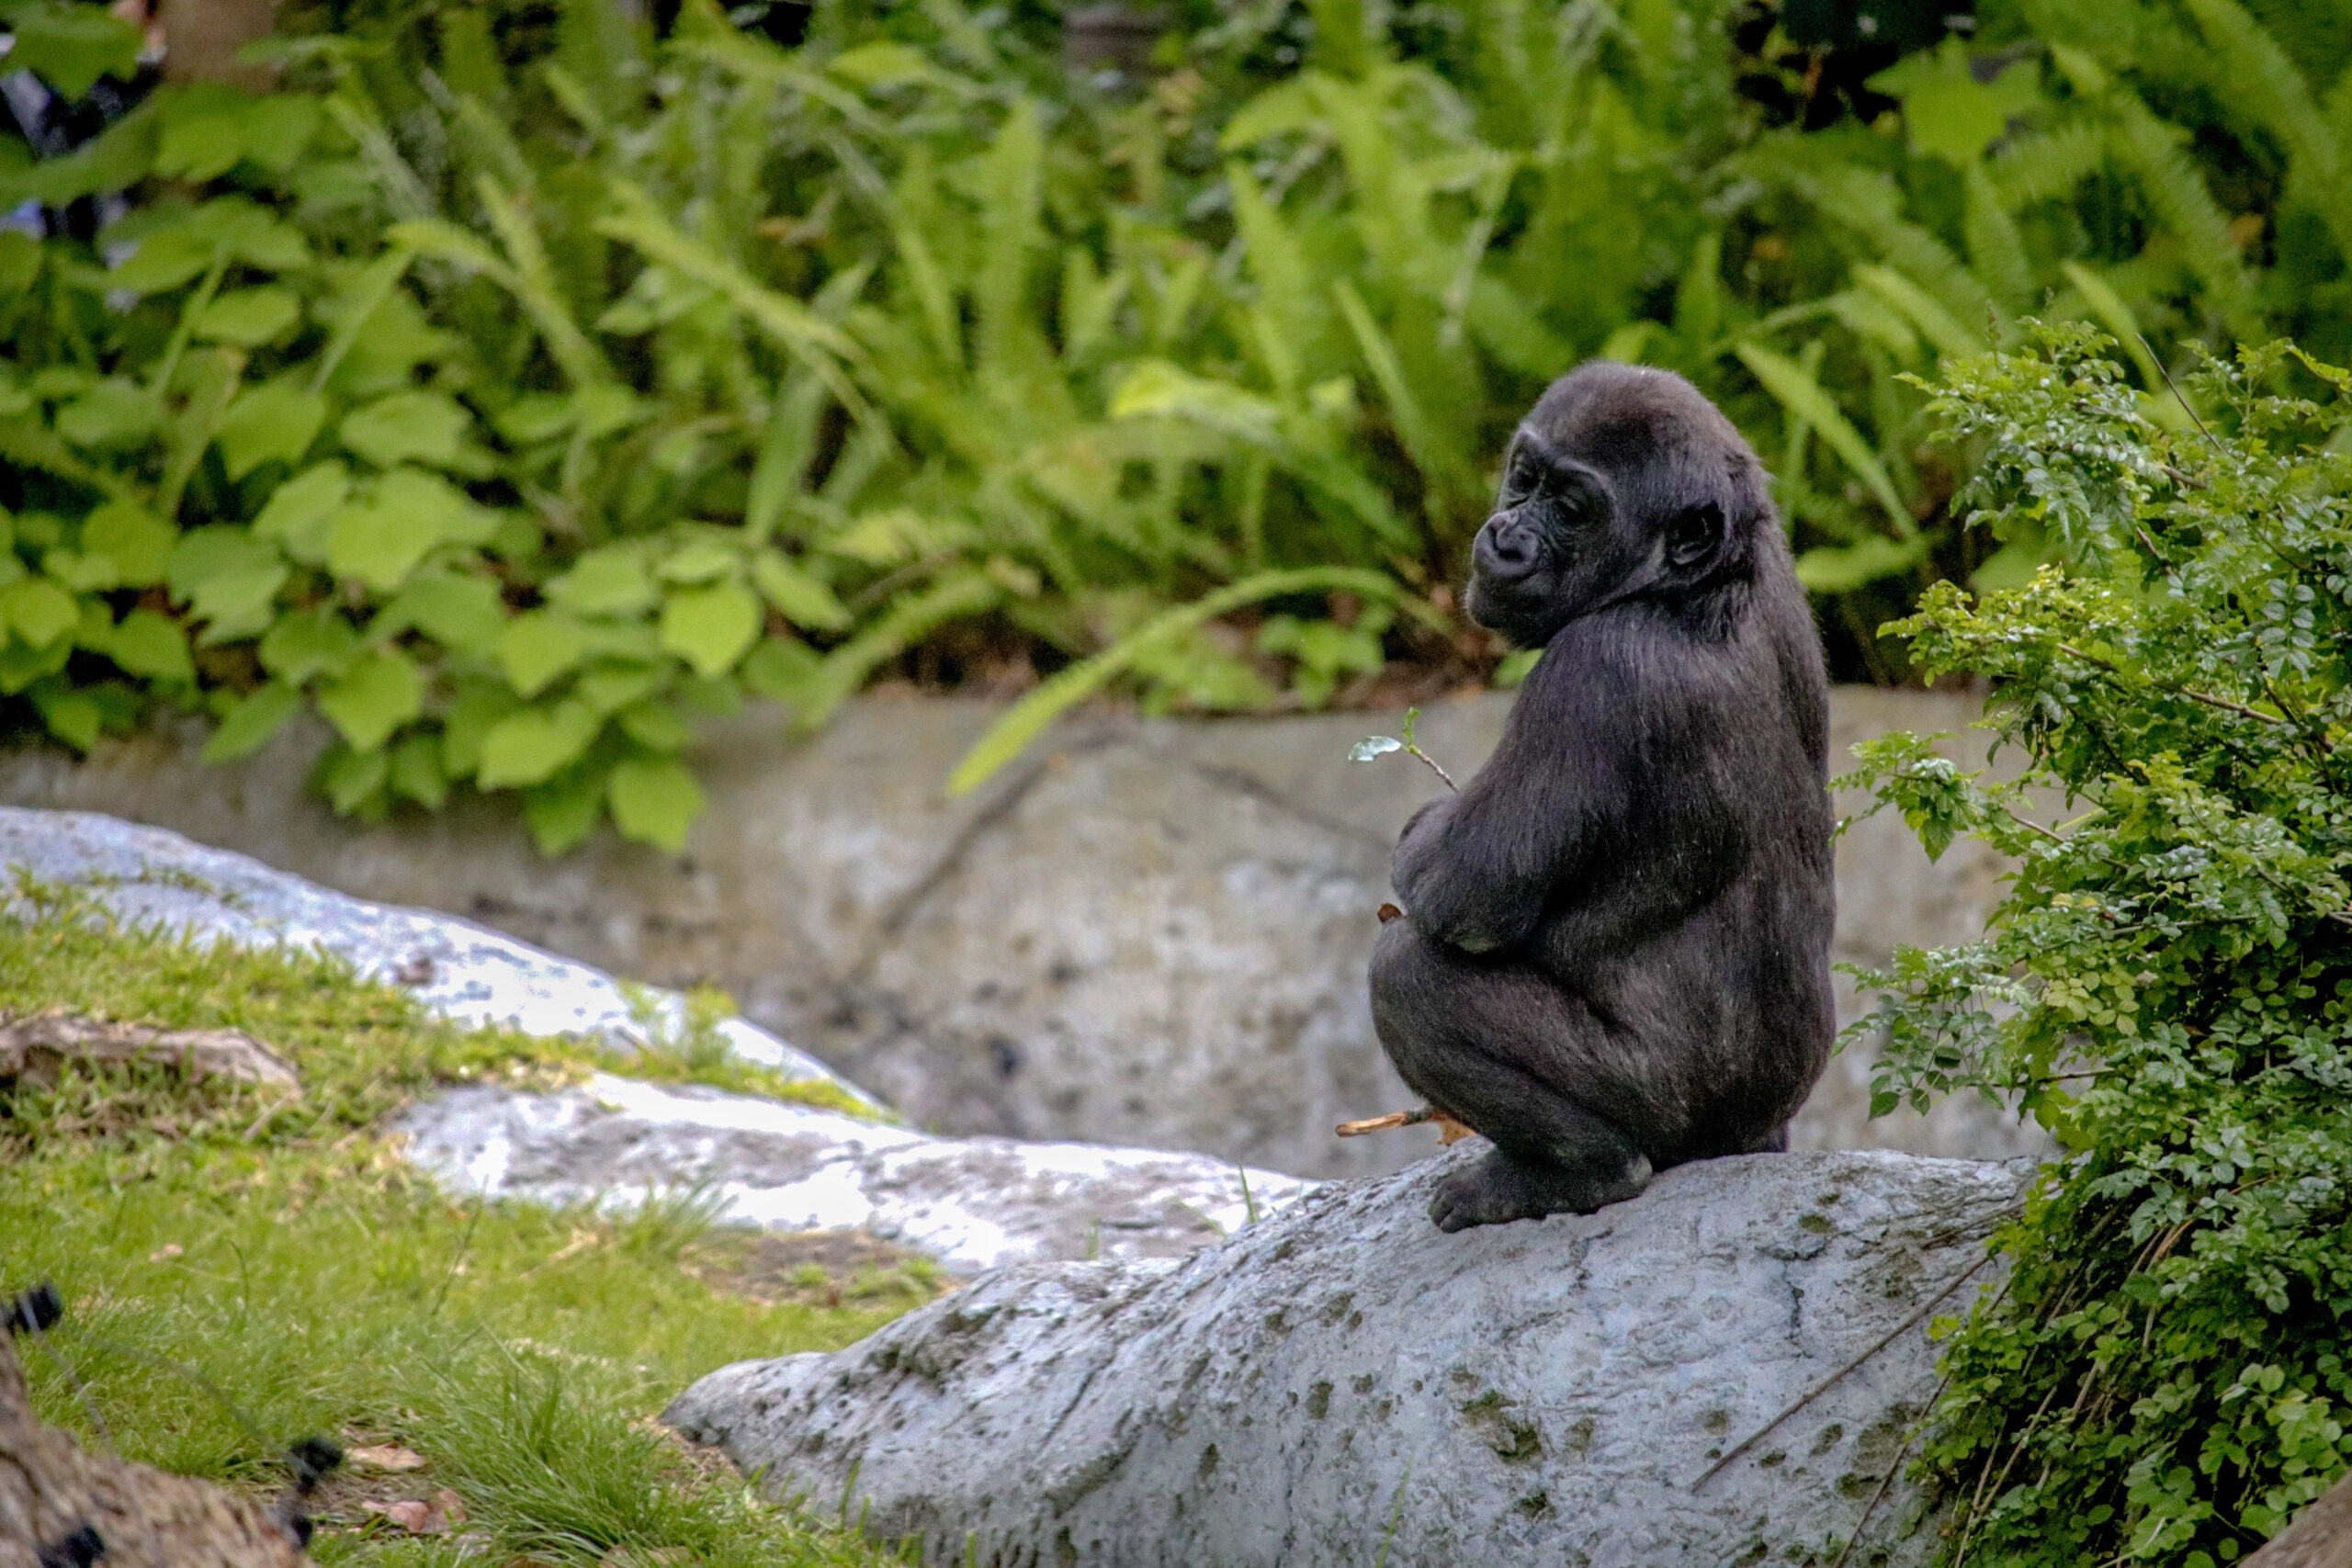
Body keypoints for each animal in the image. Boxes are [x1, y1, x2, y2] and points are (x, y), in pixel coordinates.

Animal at [1369, 361, 1836, 1233]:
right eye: (1524, 478)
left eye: (1574, 510)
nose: (1505, 537)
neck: (1698, 582)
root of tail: (1748, 1141)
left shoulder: (1593, 670)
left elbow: (1461, 891)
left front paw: (1420, 837)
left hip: (1669, 1114)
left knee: (1408, 973)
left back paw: (1577, 1172)